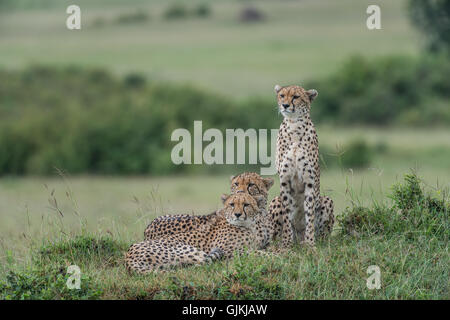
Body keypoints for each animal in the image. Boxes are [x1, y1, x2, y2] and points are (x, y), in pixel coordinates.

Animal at [125, 192, 268, 272]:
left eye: (246, 205)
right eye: (232, 204)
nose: (237, 214)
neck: (247, 226)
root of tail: (128, 256)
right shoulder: (230, 252)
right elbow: (256, 253)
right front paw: (272, 256)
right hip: (192, 251)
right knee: (201, 264)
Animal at [270, 84, 334, 246]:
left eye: (296, 97)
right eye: (282, 95)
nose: (285, 105)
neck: (294, 125)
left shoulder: (309, 181)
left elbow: (309, 215)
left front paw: (310, 244)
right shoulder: (285, 180)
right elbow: (287, 215)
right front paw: (286, 243)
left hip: (327, 201)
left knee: (323, 235)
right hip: (275, 201)